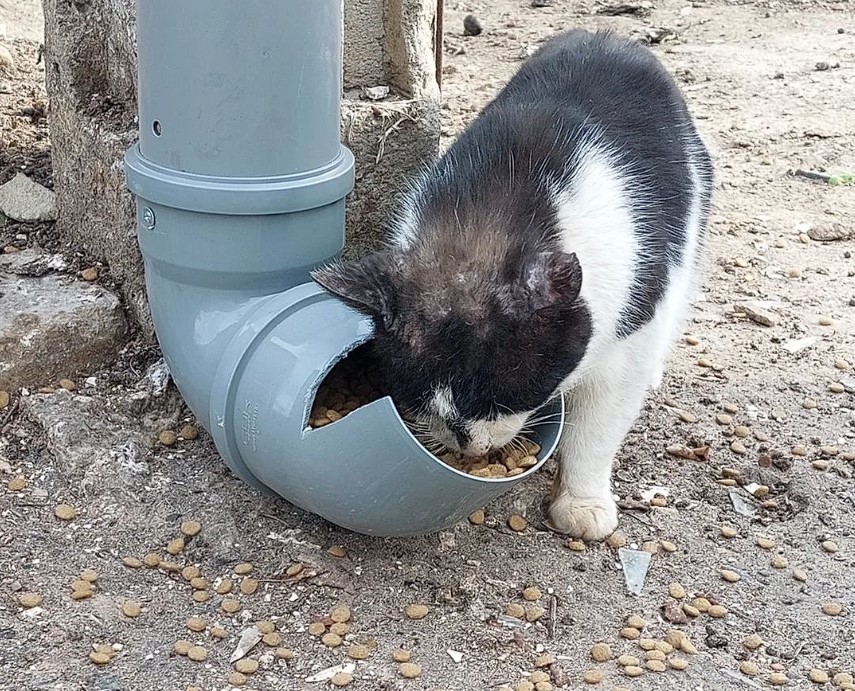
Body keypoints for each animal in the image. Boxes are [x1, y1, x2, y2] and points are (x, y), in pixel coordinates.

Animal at [314, 29, 716, 540]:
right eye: (418, 394)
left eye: (501, 396)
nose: (466, 444)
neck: (492, 216)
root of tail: (608, 37)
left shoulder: (628, 326)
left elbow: (599, 427)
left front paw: (583, 505)